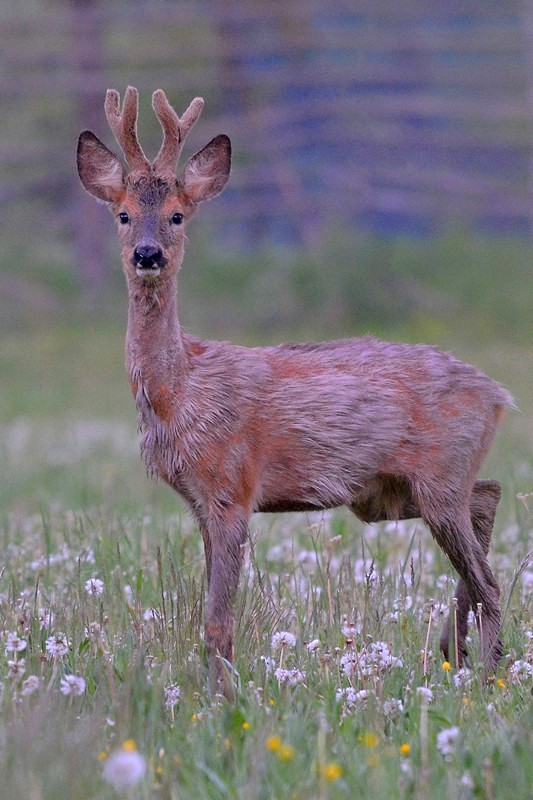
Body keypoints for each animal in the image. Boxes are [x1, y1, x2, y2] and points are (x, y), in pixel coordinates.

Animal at [76, 89, 512, 700]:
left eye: (177, 215)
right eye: (122, 213)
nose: (147, 255)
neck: (179, 393)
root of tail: (497, 394)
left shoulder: (233, 487)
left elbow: (217, 618)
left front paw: (223, 701)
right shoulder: (199, 501)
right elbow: (211, 613)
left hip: (438, 475)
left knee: (490, 573)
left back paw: (486, 669)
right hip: (393, 491)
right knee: (488, 496)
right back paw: (457, 650)